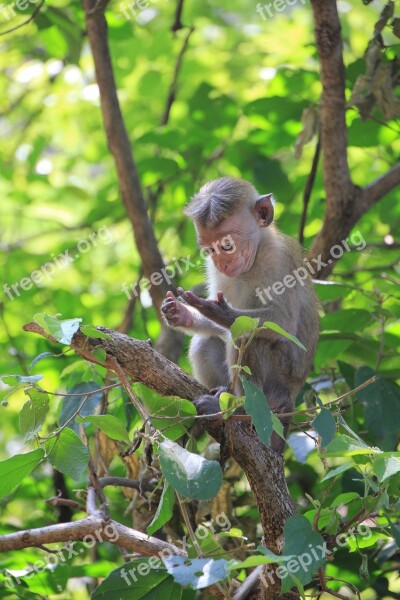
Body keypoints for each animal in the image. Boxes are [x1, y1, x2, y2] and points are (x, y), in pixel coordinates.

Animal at [161, 176, 320, 452]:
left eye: (227, 245)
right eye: (210, 250)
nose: (223, 263)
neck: (255, 256)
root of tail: (290, 400)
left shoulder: (279, 260)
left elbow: (282, 322)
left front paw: (218, 311)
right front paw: (179, 313)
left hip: (279, 384)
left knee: (250, 339)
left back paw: (239, 411)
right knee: (205, 342)